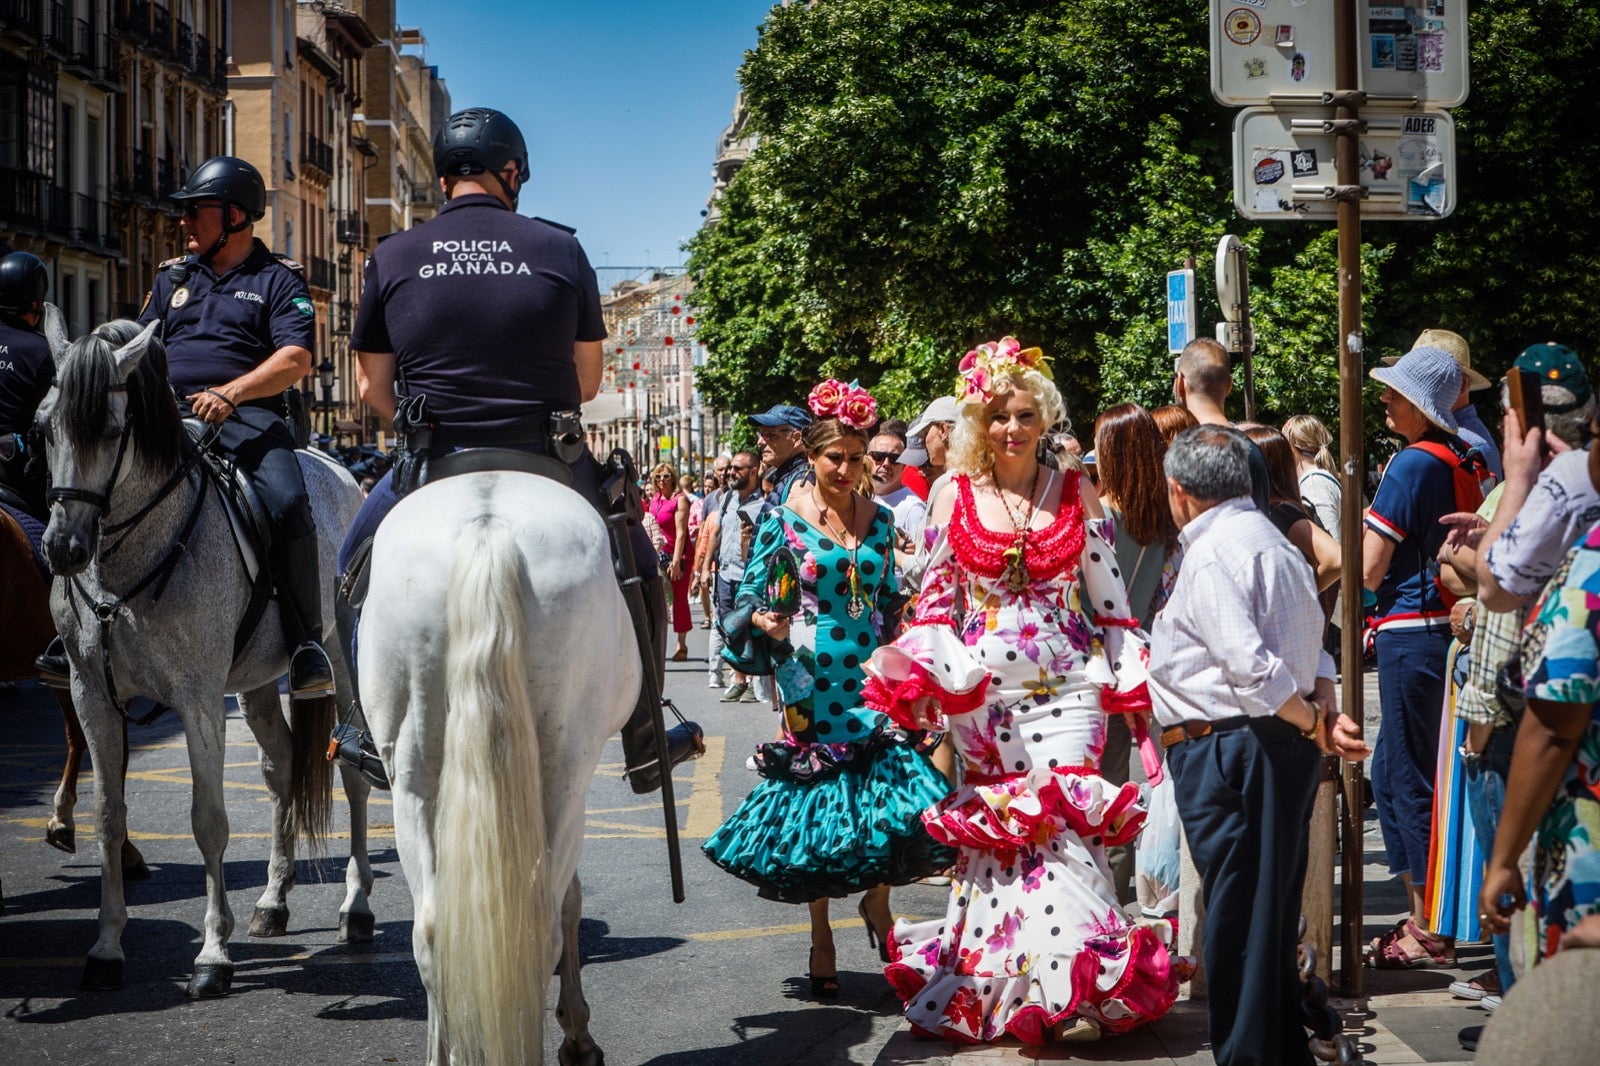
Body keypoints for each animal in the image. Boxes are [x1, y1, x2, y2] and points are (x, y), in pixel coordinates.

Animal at [36, 312, 372, 992]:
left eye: (111, 430)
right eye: (43, 427)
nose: (63, 549)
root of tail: (336, 468)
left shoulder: (197, 698)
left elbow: (209, 818)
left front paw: (213, 955)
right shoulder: (91, 693)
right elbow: (108, 816)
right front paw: (106, 946)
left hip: (338, 655)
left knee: (350, 769)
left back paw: (355, 907)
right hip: (258, 681)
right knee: (280, 766)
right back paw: (273, 900)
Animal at [360, 470, 640, 1062]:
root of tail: (486, 527)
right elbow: (572, 898)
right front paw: (577, 1032)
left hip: (413, 779)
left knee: (433, 929)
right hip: (564, 774)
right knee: (539, 924)